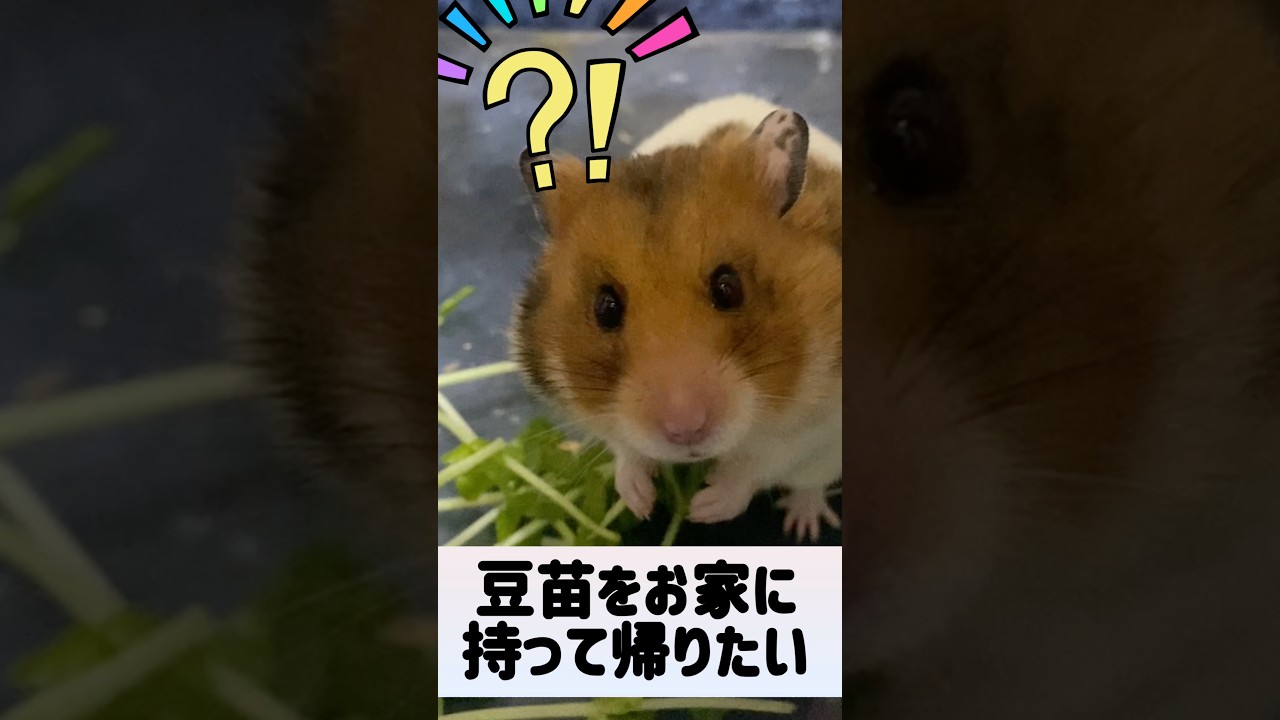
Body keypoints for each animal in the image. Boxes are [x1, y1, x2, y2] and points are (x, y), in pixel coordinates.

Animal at [509, 95, 843, 541]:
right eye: (605, 307)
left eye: (728, 287)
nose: (685, 431)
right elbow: (627, 451)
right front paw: (640, 501)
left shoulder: (817, 425)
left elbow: (759, 463)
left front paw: (704, 508)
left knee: (809, 484)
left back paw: (804, 526)